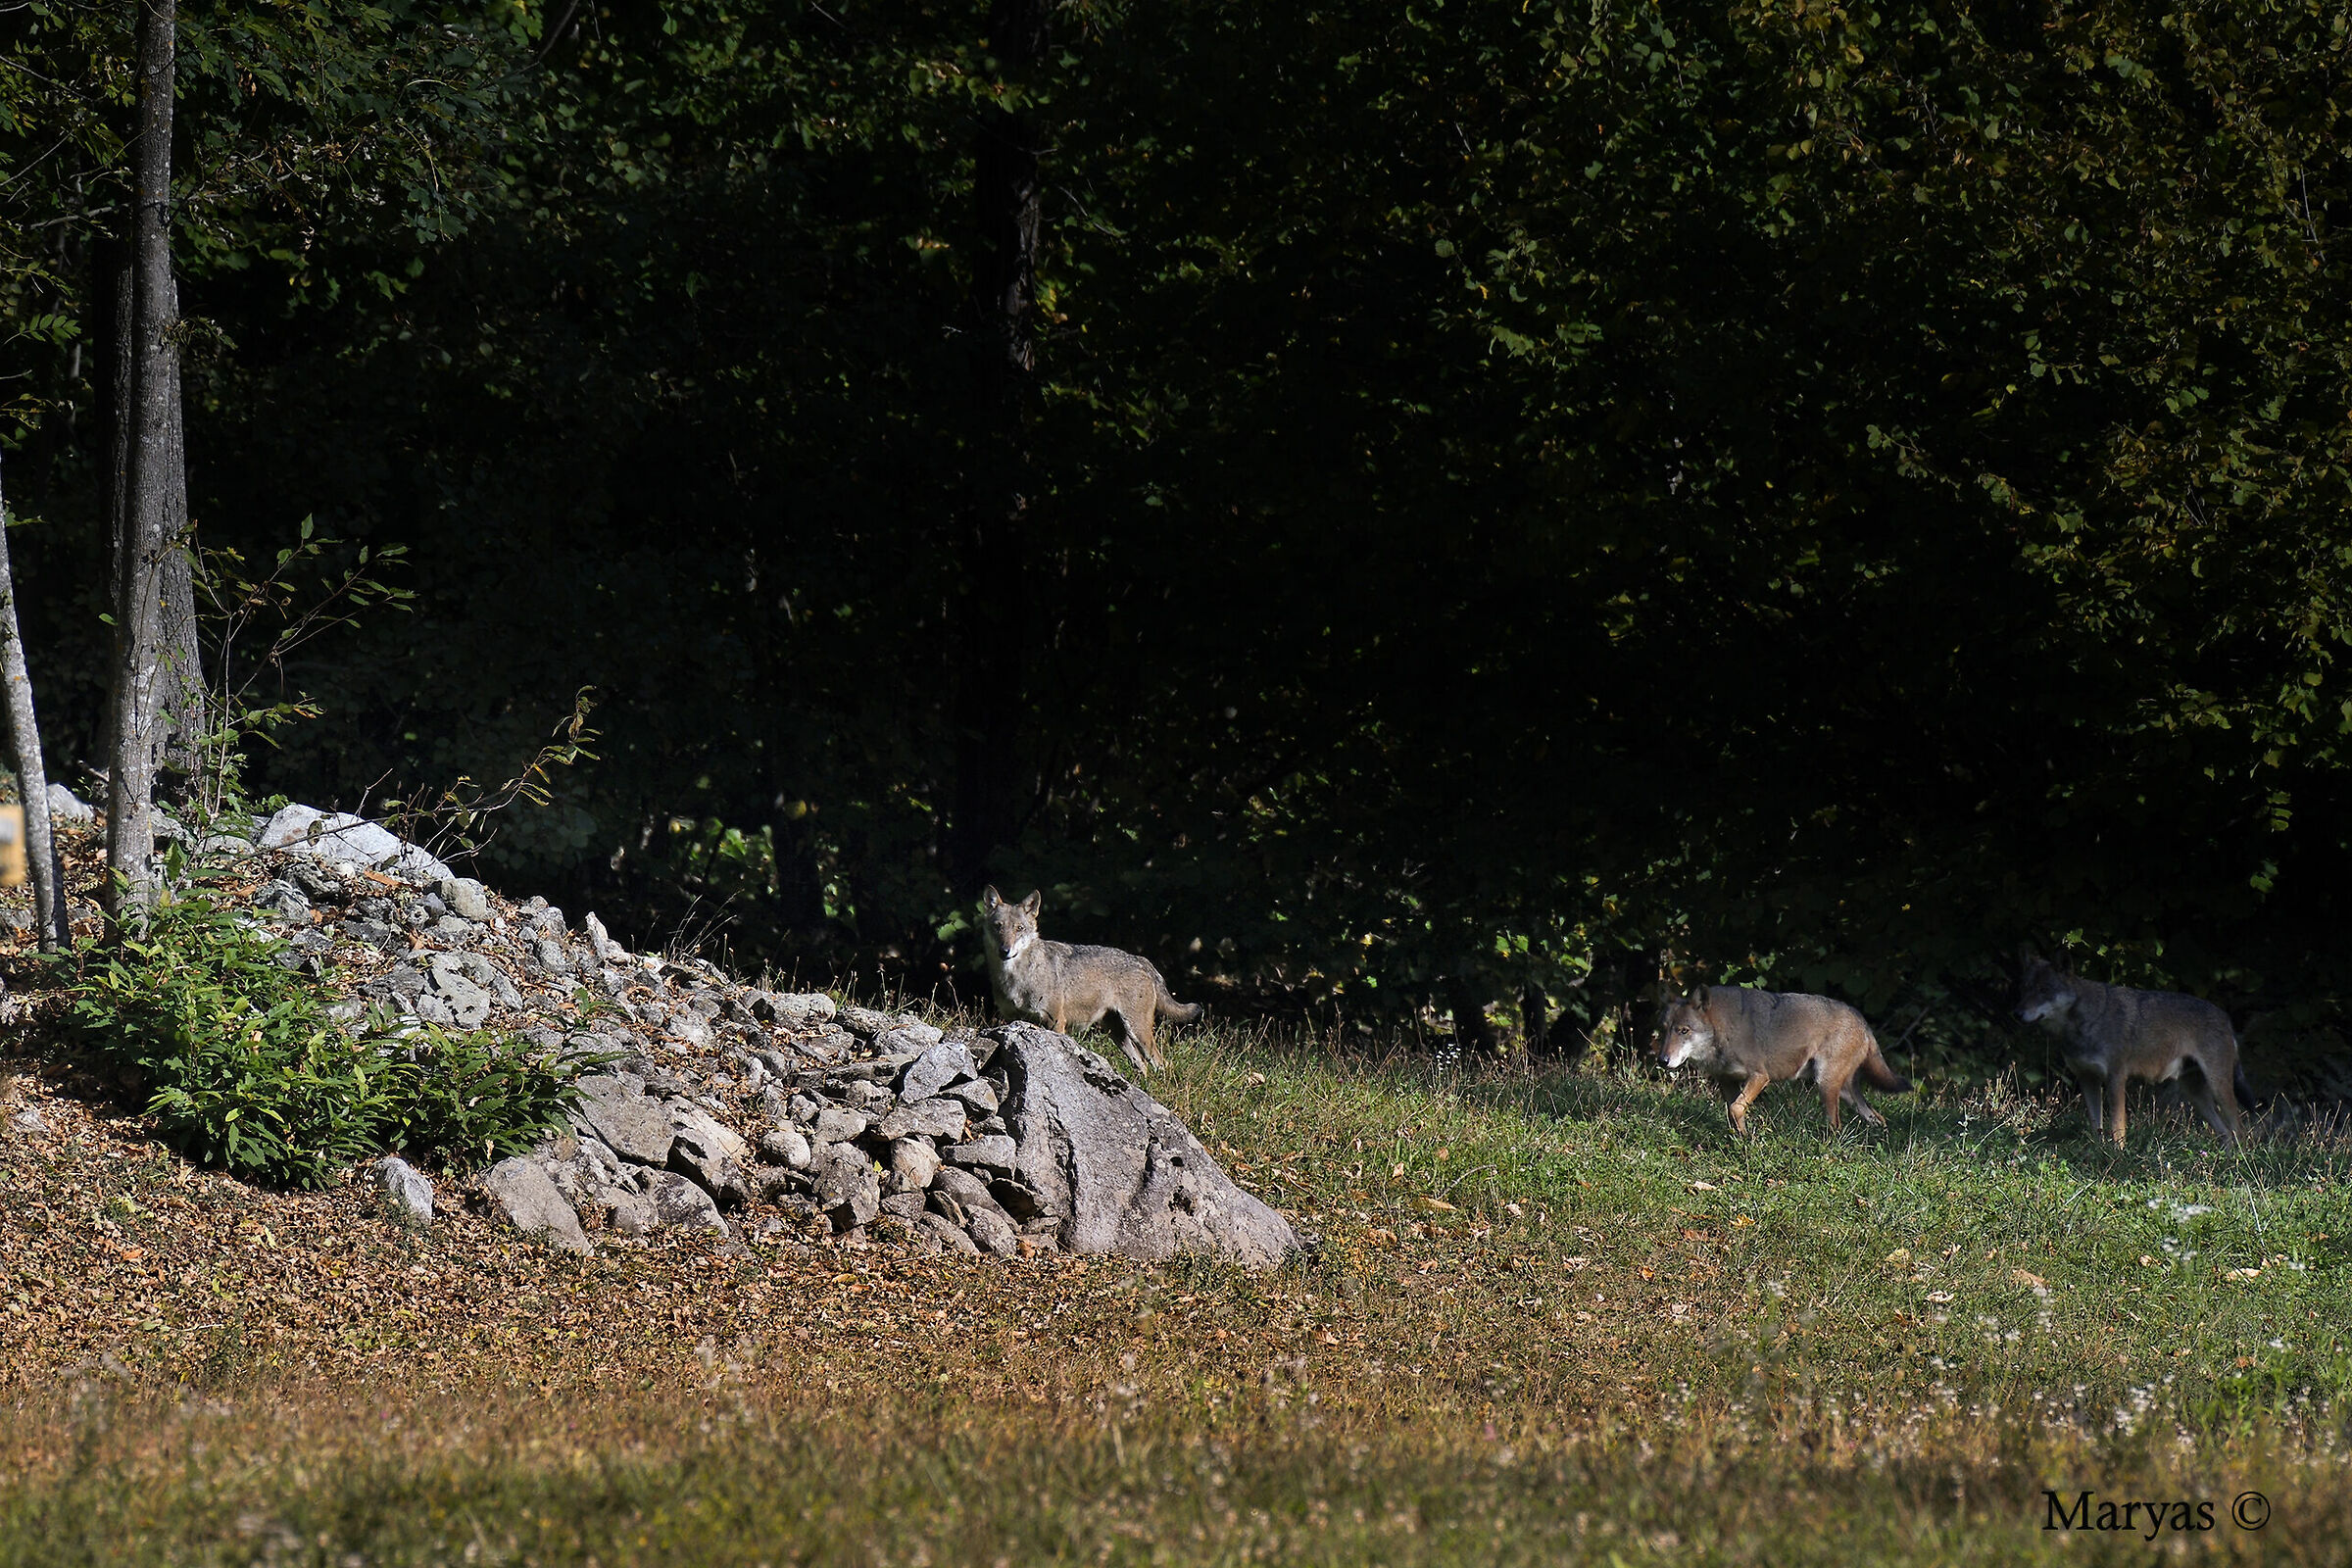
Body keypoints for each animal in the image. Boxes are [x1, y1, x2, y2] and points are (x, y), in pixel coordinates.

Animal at [979, 886, 1201, 1075]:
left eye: (1019, 928)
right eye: (998, 927)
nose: (1004, 950)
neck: (1016, 979)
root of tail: (1141, 960)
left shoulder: (1055, 1021)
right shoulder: (1013, 1021)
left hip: (1138, 1032)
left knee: (1161, 1063)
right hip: (1118, 1034)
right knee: (1143, 1065)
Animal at [1652, 985, 1911, 1135]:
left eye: (1683, 1031)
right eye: (1665, 1030)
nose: (1662, 1060)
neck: (1724, 1030)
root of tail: (1861, 1019)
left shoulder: (1760, 1076)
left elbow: (1736, 1108)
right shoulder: (1726, 1081)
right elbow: (1733, 1112)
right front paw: (1741, 1140)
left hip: (1826, 1085)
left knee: (1836, 1125)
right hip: (1845, 1093)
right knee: (1877, 1118)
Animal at [2013, 948, 2253, 1146]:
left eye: (2044, 990)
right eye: (2024, 989)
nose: (2017, 1014)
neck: (2085, 1022)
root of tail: (2226, 1018)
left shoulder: (2116, 1079)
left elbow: (2117, 1129)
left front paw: (2117, 1157)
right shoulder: (2087, 1079)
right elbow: (2097, 1127)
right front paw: (2098, 1153)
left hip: (2218, 1087)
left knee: (2239, 1131)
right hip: (2197, 1095)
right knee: (2226, 1133)